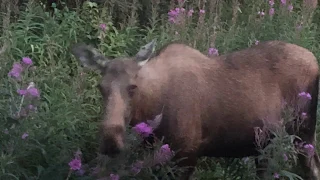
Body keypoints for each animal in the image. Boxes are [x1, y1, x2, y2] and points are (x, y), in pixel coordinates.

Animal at [71, 40, 320, 179]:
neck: (151, 110)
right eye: (101, 87)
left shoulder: (187, 153)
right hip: (266, 145)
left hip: (303, 133)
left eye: (133, 87)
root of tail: (315, 60)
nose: (110, 141)